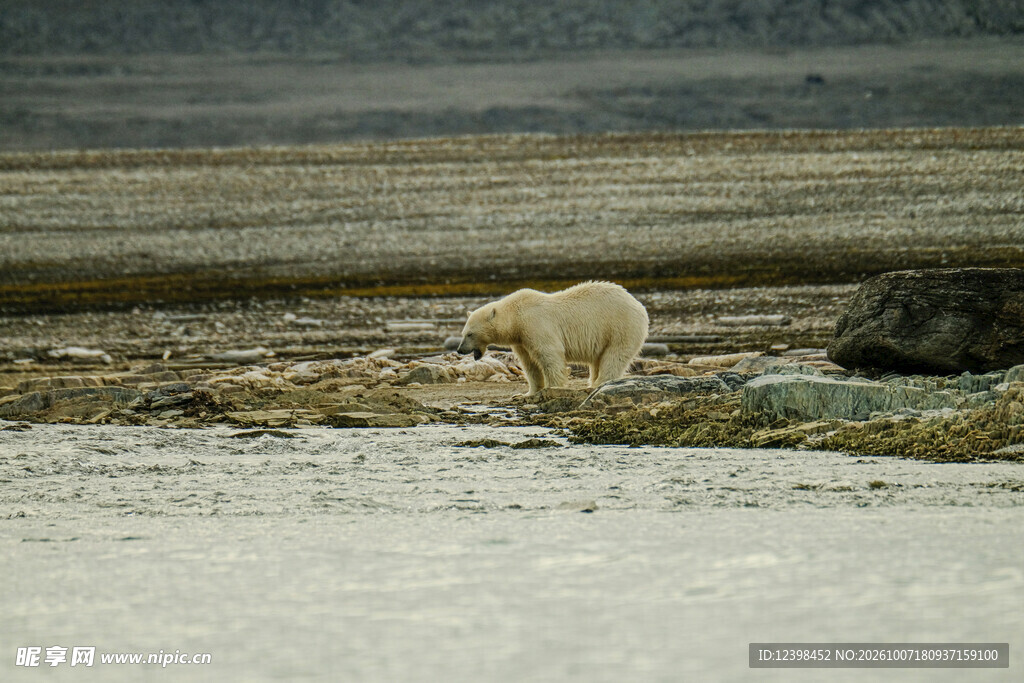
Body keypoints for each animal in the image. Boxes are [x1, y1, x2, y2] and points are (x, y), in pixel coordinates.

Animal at [457, 281, 649, 396]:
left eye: (470, 334)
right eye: (463, 333)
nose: (460, 350)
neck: (516, 316)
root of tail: (639, 305)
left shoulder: (536, 325)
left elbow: (549, 355)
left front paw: (553, 387)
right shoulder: (521, 339)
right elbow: (529, 364)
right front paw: (529, 392)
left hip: (620, 327)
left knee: (614, 356)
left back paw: (598, 384)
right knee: (599, 360)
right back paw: (592, 383)